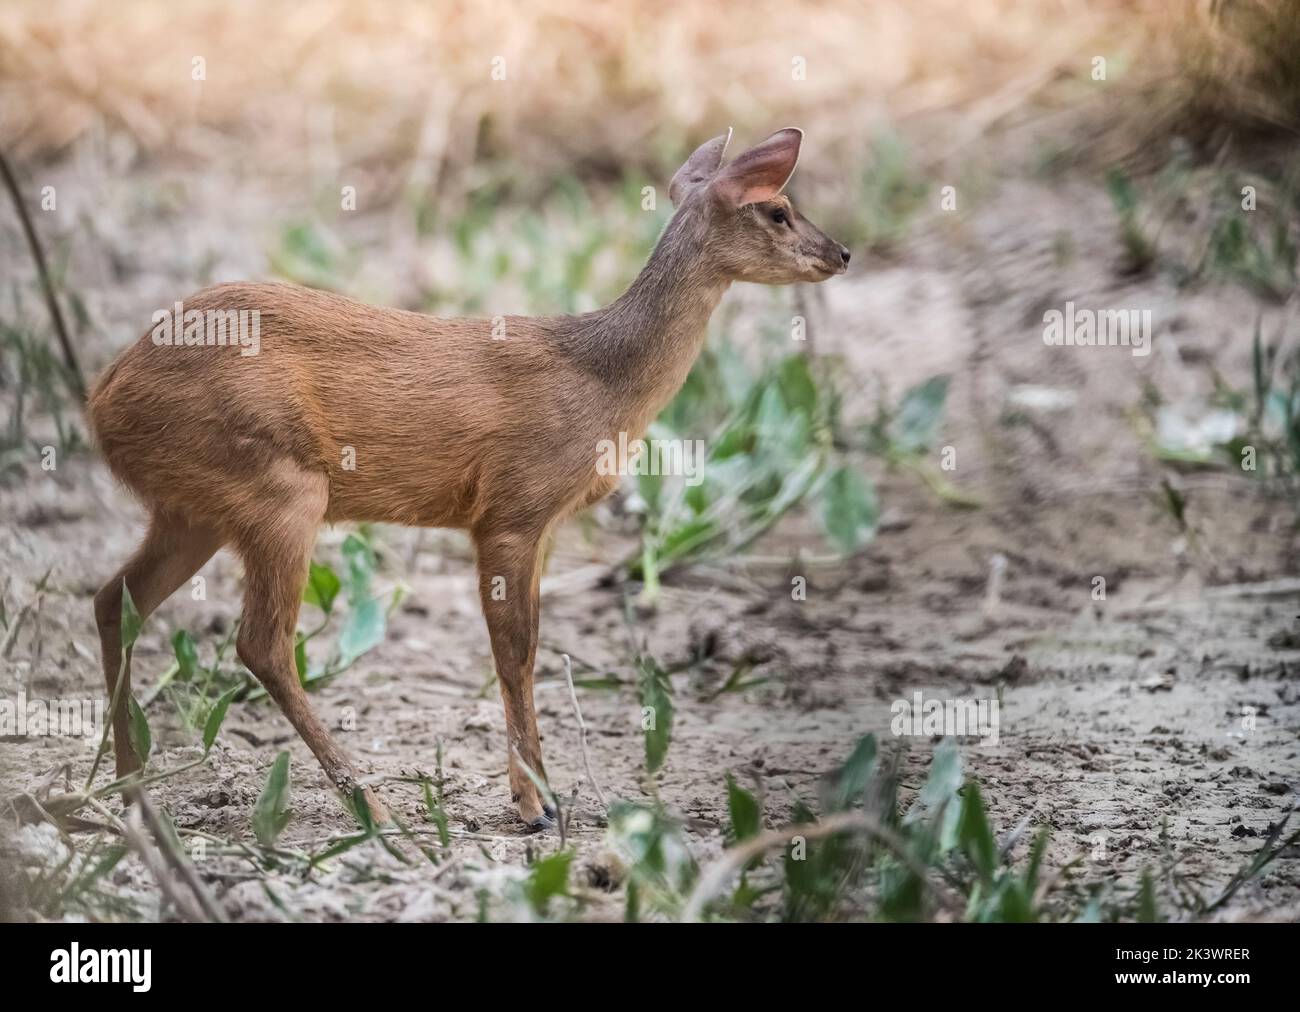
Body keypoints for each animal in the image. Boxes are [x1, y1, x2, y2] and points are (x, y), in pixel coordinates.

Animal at [88, 128, 850, 831]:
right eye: (778, 209)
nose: (841, 252)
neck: (599, 380)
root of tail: (103, 399)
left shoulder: (540, 526)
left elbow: (528, 647)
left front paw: (546, 797)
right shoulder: (511, 508)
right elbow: (514, 653)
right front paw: (535, 805)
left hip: (196, 508)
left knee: (114, 599)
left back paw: (128, 794)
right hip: (280, 488)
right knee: (261, 644)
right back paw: (372, 806)